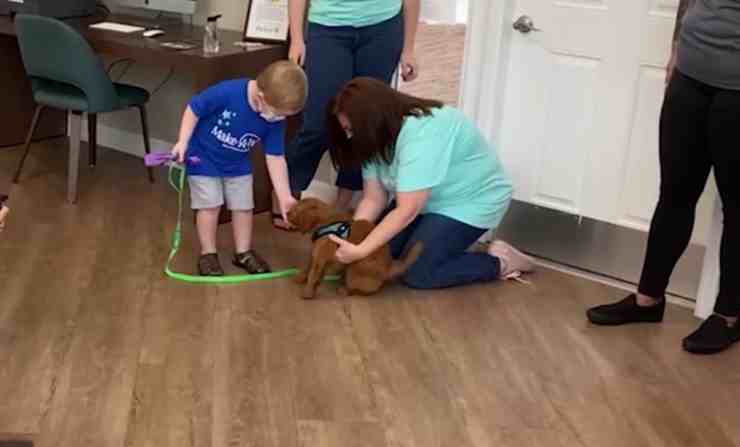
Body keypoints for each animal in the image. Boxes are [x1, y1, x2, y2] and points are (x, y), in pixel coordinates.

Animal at [287, 198, 423, 299]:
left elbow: (313, 275)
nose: (287, 212)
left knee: (361, 290)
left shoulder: (320, 257)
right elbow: (308, 268)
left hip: (354, 269)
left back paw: (344, 290)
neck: (325, 220)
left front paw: (307, 293)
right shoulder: (316, 255)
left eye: (295, 210)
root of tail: (389, 268)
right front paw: (300, 279)